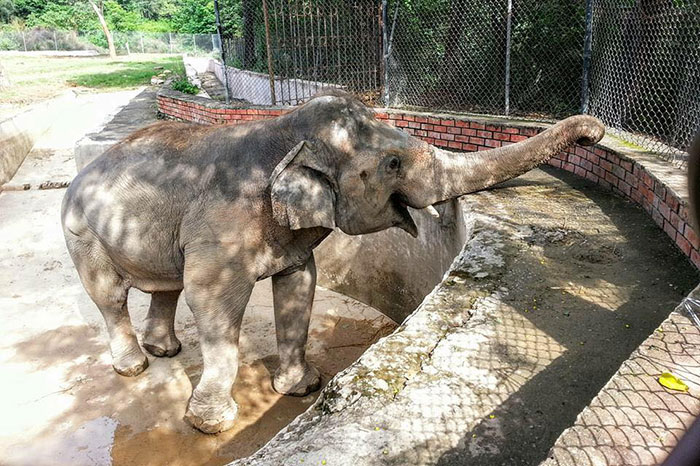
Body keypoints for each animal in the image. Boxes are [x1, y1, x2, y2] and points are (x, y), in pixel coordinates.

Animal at [61, 89, 604, 434]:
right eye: (392, 164)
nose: (595, 133)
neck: (284, 131)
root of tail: (81, 169)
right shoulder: (221, 228)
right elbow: (211, 299)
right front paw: (211, 424)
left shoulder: (288, 239)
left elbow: (299, 285)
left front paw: (303, 389)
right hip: (79, 231)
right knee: (111, 296)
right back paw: (133, 367)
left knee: (165, 287)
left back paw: (166, 351)